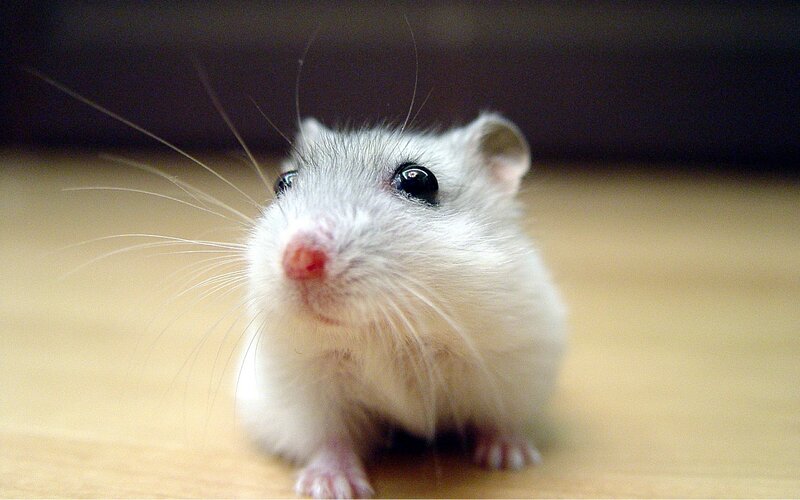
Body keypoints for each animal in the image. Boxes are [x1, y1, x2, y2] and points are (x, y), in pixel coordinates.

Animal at [236, 113, 567, 499]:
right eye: (283, 183)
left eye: (419, 181)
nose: (299, 260)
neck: (388, 330)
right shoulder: (304, 385)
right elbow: (328, 437)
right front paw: (332, 488)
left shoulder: (512, 365)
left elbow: (499, 419)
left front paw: (511, 460)